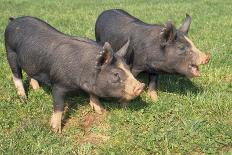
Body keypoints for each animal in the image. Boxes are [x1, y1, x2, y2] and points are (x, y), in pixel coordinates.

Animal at [4, 16, 144, 133]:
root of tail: (14, 20)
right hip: (10, 52)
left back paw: (37, 89)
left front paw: (102, 111)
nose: (141, 86)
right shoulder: (57, 83)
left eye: (128, 69)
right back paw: (24, 99)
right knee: (16, 75)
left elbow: (93, 95)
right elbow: (59, 105)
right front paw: (55, 130)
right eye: (115, 74)